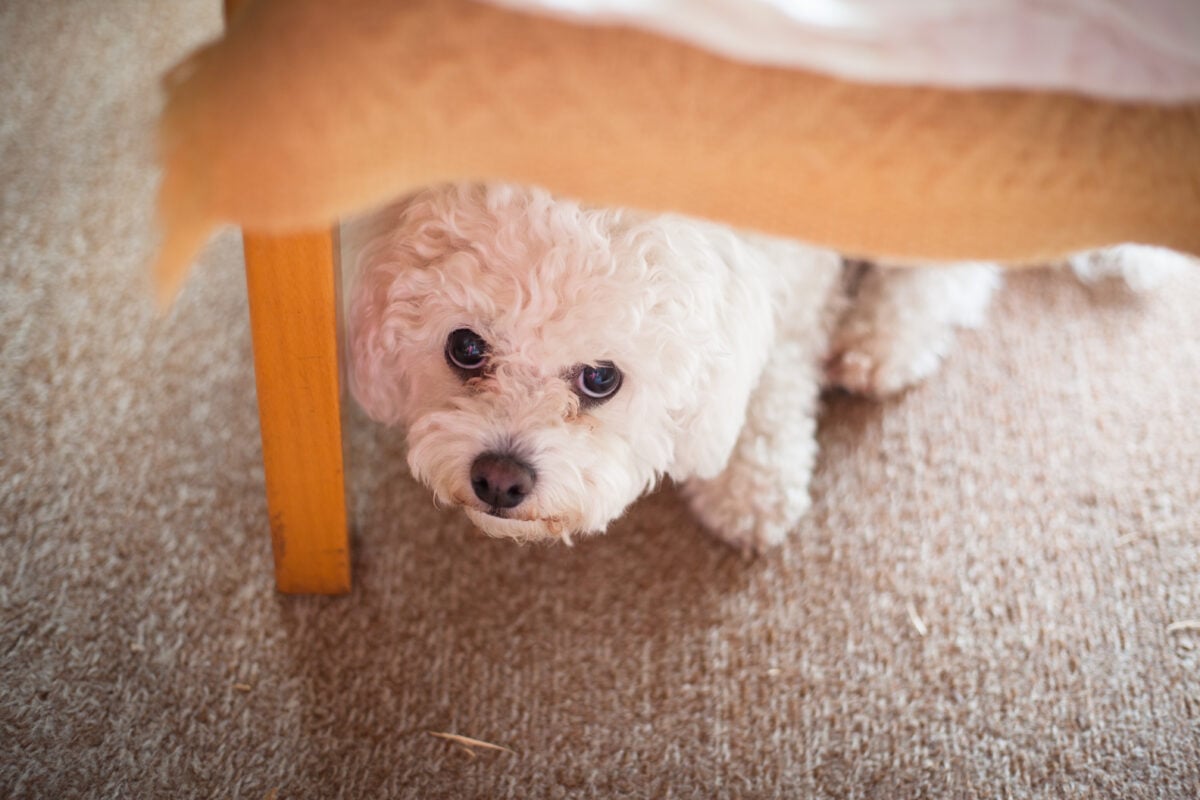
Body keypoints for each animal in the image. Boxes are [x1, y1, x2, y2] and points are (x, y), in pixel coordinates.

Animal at [343, 184, 1176, 554]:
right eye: (465, 348)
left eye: (600, 378)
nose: (500, 479)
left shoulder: (787, 283)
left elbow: (768, 386)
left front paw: (749, 489)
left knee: (956, 268)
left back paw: (885, 338)